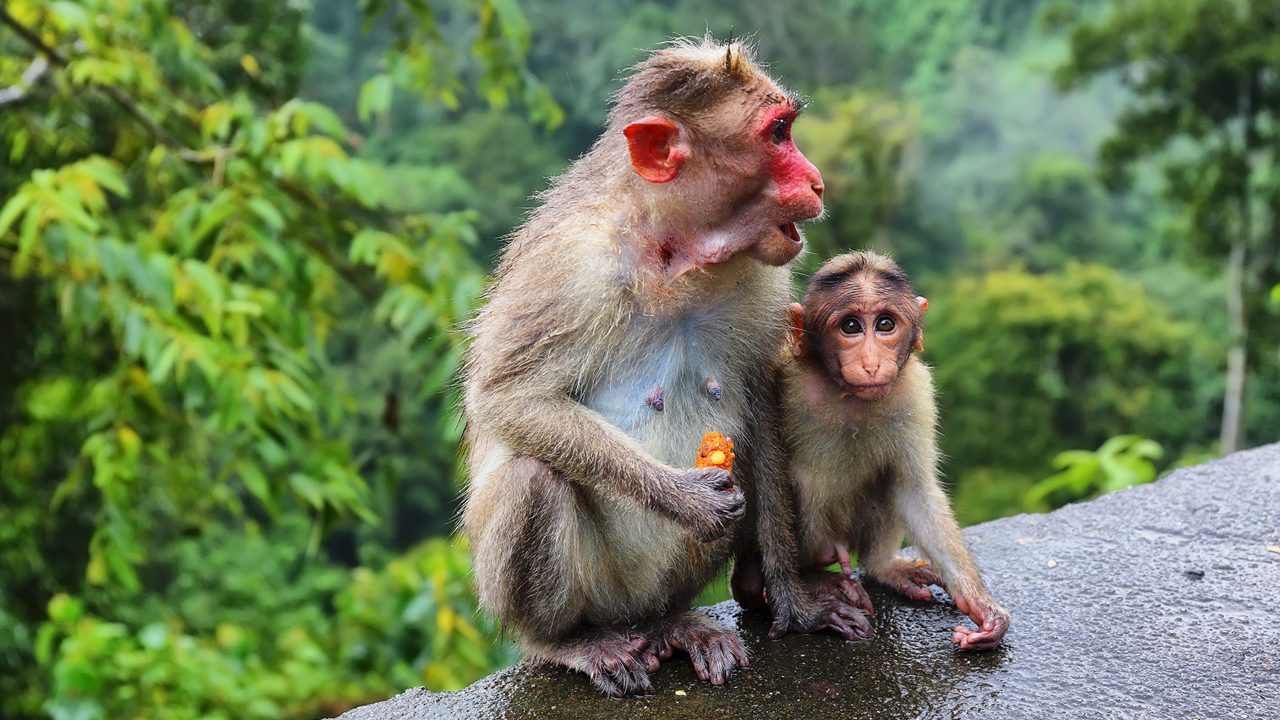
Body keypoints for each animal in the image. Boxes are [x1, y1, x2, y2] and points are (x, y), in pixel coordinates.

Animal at [460, 40, 860, 696]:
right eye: (778, 134)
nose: (817, 180)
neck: (673, 256)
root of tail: (630, 613)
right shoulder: (569, 271)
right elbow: (508, 400)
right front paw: (686, 497)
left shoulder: (764, 281)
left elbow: (761, 412)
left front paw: (796, 602)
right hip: (583, 592)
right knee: (533, 477)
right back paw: (567, 641)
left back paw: (673, 622)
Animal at [778, 251, 1008, 650]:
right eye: (850, 326)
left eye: (885, 324)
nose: (871, 363)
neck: (847, 395)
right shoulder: (781, 377)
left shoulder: (915, 391)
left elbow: (913, 487)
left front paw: (981, 606)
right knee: (803, 483)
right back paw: (811, 575)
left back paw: (883, 566)